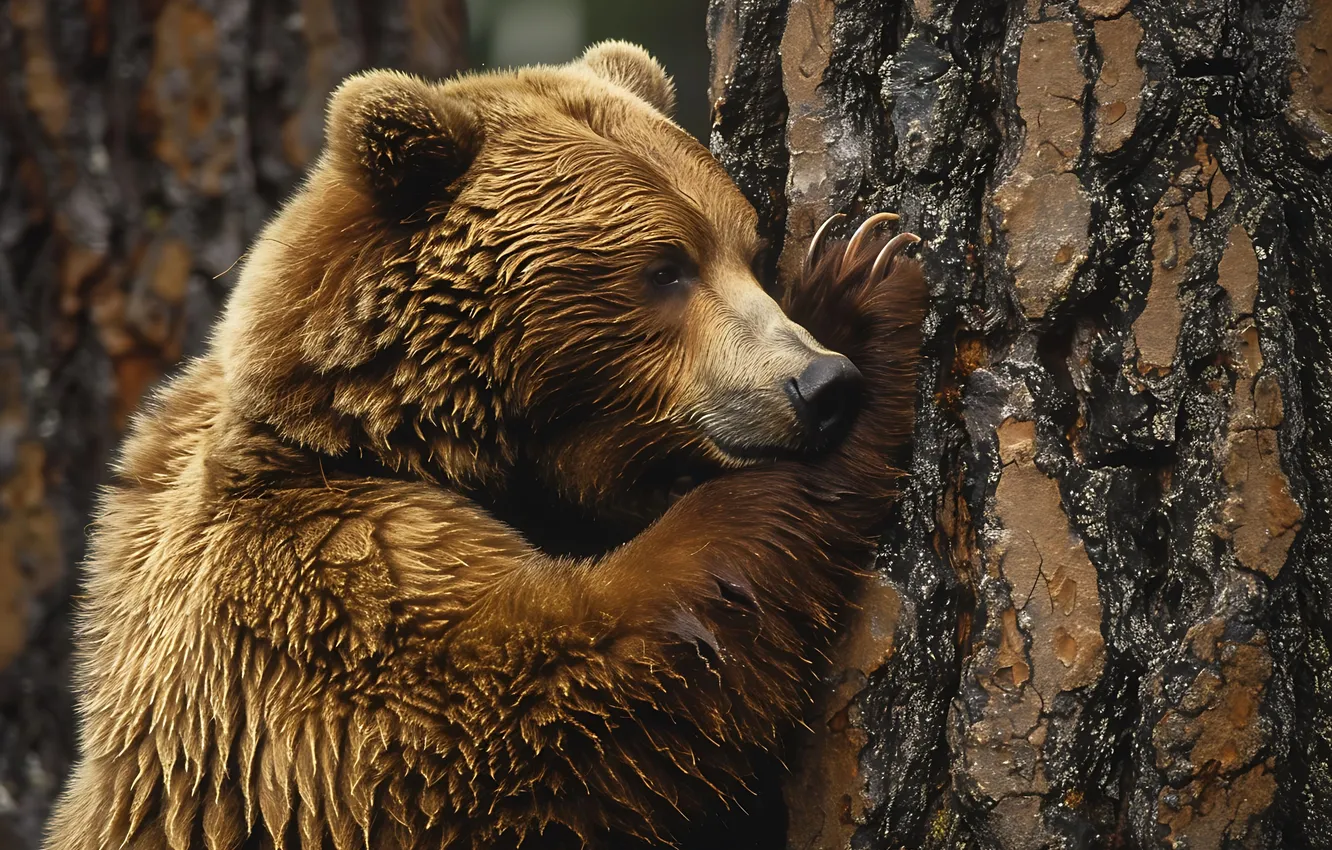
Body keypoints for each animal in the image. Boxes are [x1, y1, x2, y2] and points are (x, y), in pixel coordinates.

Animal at [44, 42, 926, 850]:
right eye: (666, 266)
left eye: (746, 248)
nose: (818, 383)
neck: (375, 431)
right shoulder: (314, 592)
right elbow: (542, 705)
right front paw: (865, 288)